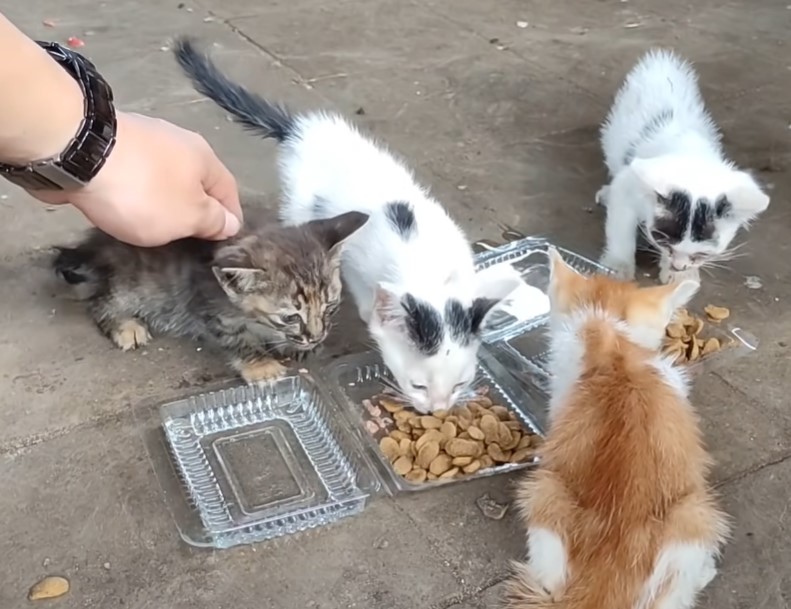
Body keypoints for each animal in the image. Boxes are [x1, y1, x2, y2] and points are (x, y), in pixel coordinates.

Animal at [54, 209, 370, 380]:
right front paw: (260, 365)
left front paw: (294, 346)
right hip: (132, 282)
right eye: (291, 317)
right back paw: (125, 325)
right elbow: (235, 338)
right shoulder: (205, 302)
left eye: (329, 307)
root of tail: (99, 242)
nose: (316, 337)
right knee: (100, 301)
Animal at [174, 38, 524, 414]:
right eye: (417, 385)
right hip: (300, 203)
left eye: (461, 383)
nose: (438, 410)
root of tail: (304, 129)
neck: (432, 273)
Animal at [596, 48, 772, 284]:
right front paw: (617, 267)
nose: (679, 266)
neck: (690, 152)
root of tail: (661, 62)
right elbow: (621, 227)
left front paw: (678, 276)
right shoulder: (628, 184)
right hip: (614, 136)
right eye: (665, 243)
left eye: (702, 253)